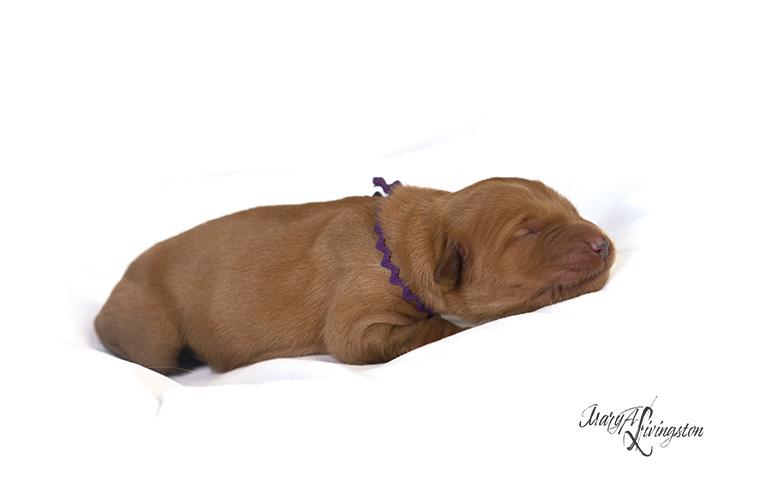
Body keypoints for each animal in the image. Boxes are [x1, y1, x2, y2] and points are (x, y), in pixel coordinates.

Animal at [95, 177, 615, 373]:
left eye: (572, 211)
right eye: (527, 231)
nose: (602, 244)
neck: (410, 243)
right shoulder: (357, 321)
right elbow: (425, 328)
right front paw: (451, 327)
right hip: (153, 329)